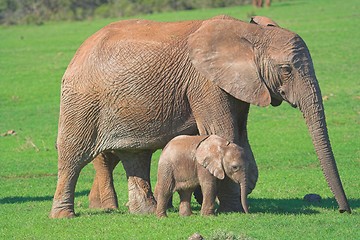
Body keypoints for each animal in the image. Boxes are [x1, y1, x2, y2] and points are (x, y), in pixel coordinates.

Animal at [49, 15, 350, 218]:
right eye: (286, 70)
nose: (343, 211)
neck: (249, 33)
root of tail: (78, 52)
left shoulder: (240, 84)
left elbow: (240, 136)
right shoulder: (205, 82)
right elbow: (224, 130)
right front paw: (231, 209)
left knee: (136, 154)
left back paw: (146, 212)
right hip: (82, 101)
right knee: (73, 155)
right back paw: (65, 216)